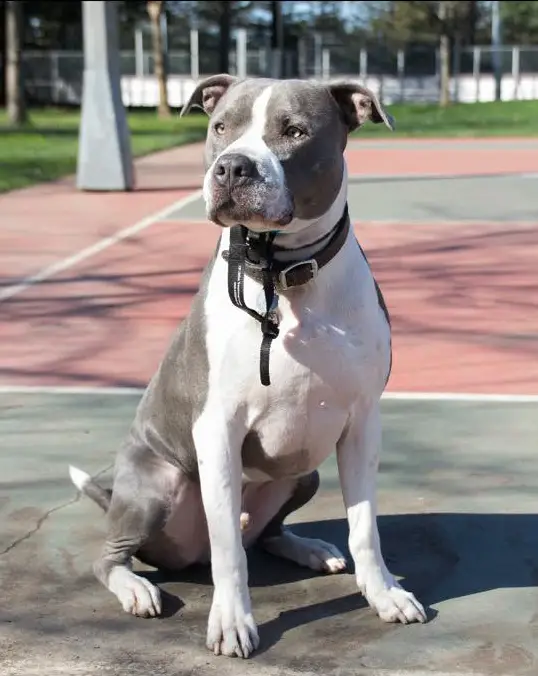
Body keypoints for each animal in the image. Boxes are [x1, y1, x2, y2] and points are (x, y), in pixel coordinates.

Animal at [70, 75, 422, 660]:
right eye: (220, 128)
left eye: (295, 131)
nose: (232, 167)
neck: (284, 275)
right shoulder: (218, 428)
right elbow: (229, 553)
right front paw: (233, 621)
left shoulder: (362, 422)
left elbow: (364, 526)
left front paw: (384, 593)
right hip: (156, 483)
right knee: (116, 555)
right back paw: (136, 587)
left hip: (303, 471)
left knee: (266, 532)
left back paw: (308, 547)